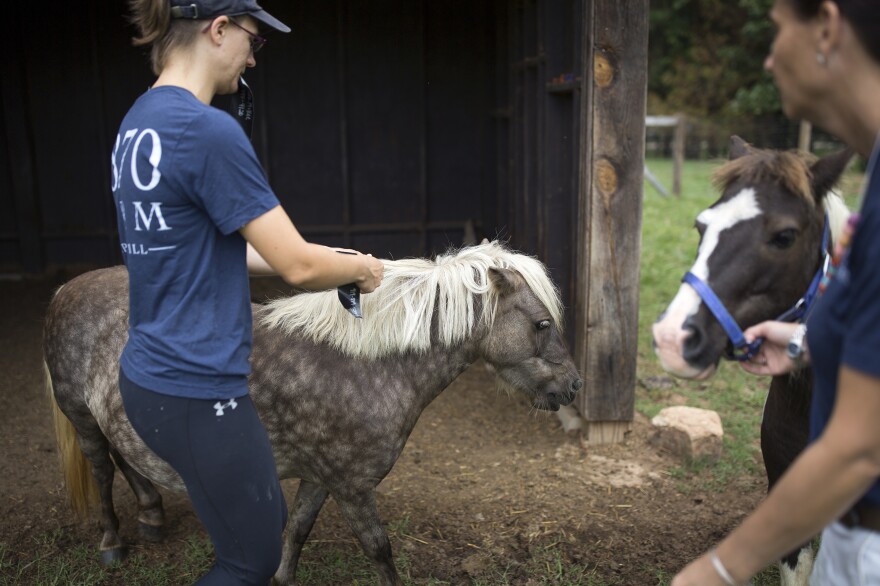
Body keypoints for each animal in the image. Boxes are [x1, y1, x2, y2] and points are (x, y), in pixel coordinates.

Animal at [46, 240, 584, 580]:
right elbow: (379, 551)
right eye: (541, 324)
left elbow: (297, 533)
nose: (574, 385)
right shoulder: (351, 487)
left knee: (125, 457)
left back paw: (152, 516)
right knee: (101, 469)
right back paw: (112, 542)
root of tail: (66, 289)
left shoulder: (320, 478)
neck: (365, 363)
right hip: (81, 417)